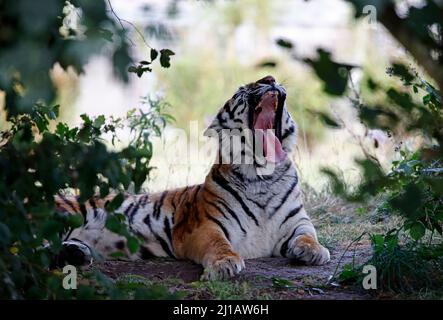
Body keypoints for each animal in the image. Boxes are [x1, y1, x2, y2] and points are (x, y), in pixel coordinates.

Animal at [53, 75, 330, 280]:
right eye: (241, 89)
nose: (270, 78)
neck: (263, 177)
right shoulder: (205, 226)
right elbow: (218, 244)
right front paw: (225, 264)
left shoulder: (297, 221)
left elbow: (308, 234)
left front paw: (314, 251)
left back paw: (76, 254)